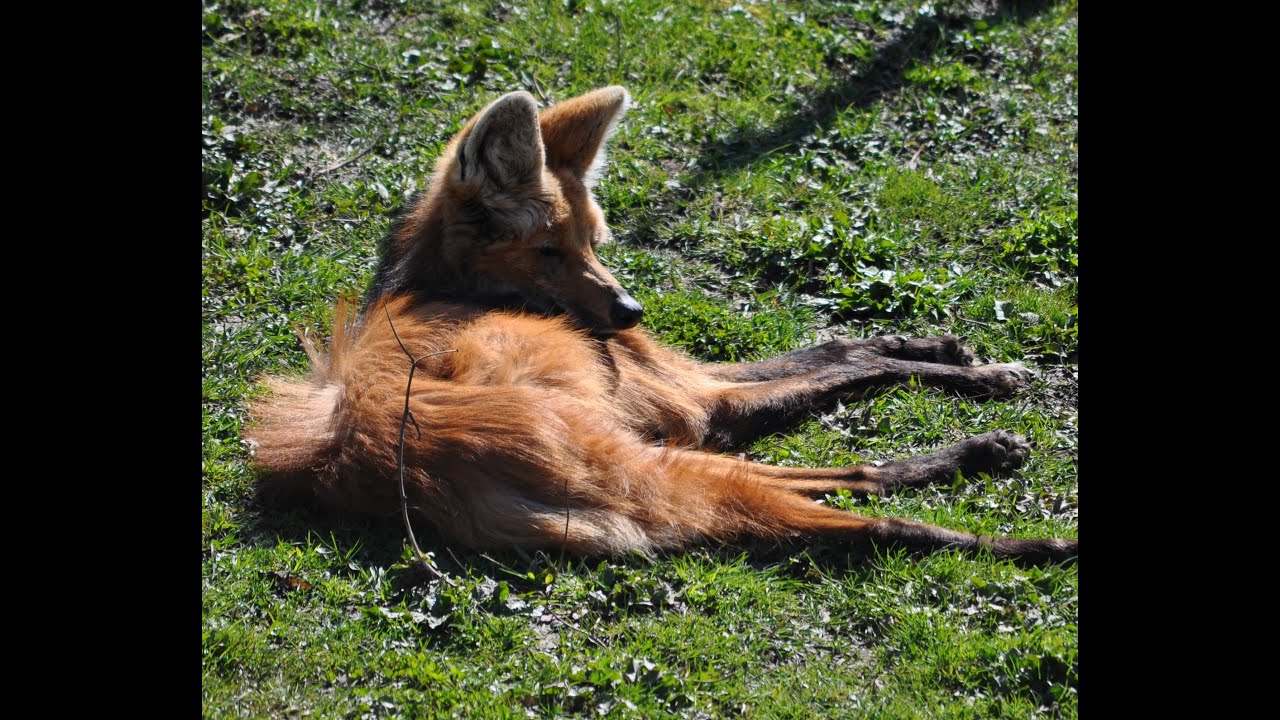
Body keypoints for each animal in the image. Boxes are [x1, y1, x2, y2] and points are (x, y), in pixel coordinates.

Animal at [247, 86, 1077, 564]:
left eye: (593, 242)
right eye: (548, 250)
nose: (629, 312)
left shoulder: (684, 384)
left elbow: (843, 345)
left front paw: (950, 350)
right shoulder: (697, 406)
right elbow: (851, 366)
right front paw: (986, 375)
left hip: (641, 461)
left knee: (835, 481)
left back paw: (982, 461)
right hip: (640, 457)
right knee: (854, 501)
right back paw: (1029, 532)